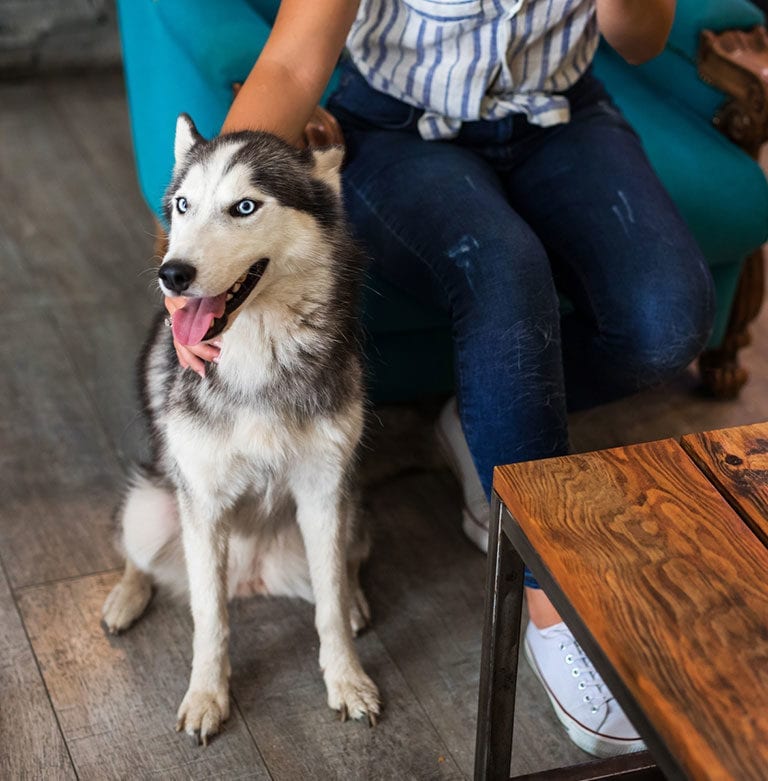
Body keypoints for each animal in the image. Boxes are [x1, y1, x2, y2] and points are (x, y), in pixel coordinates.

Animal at [99, 116, 380, 744]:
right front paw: (207, 695)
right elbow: (210, 619)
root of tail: (251, 579)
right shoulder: (202, 504)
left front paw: (347, 680)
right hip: (150, 509)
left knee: (345, 567)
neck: (258, 354)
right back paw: (125, 598)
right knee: (138, 556)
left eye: (244, 207)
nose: (172, 275)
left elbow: (327, 609)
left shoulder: (324, 493)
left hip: (355, 510)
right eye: (183, 205)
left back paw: (355, 600)